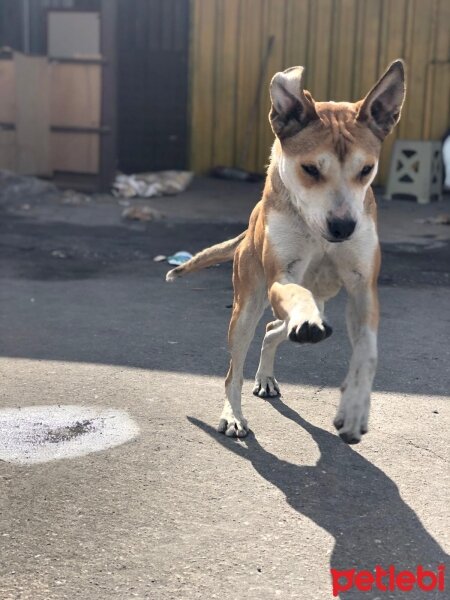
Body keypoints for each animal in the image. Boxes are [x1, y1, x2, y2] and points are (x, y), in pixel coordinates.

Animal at [167, 61, 406, 446]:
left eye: (366, 170)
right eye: (310, 169)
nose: (344, 228)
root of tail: (249, 229)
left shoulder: (362, 286)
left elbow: (367, 351)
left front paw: (355, 408)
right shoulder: (282, 277)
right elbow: (294, 293)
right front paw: (305, 320)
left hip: (315, 302)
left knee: (272, 329)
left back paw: (267, 374)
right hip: (246, 306)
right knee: (236, 365)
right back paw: (233, 414)